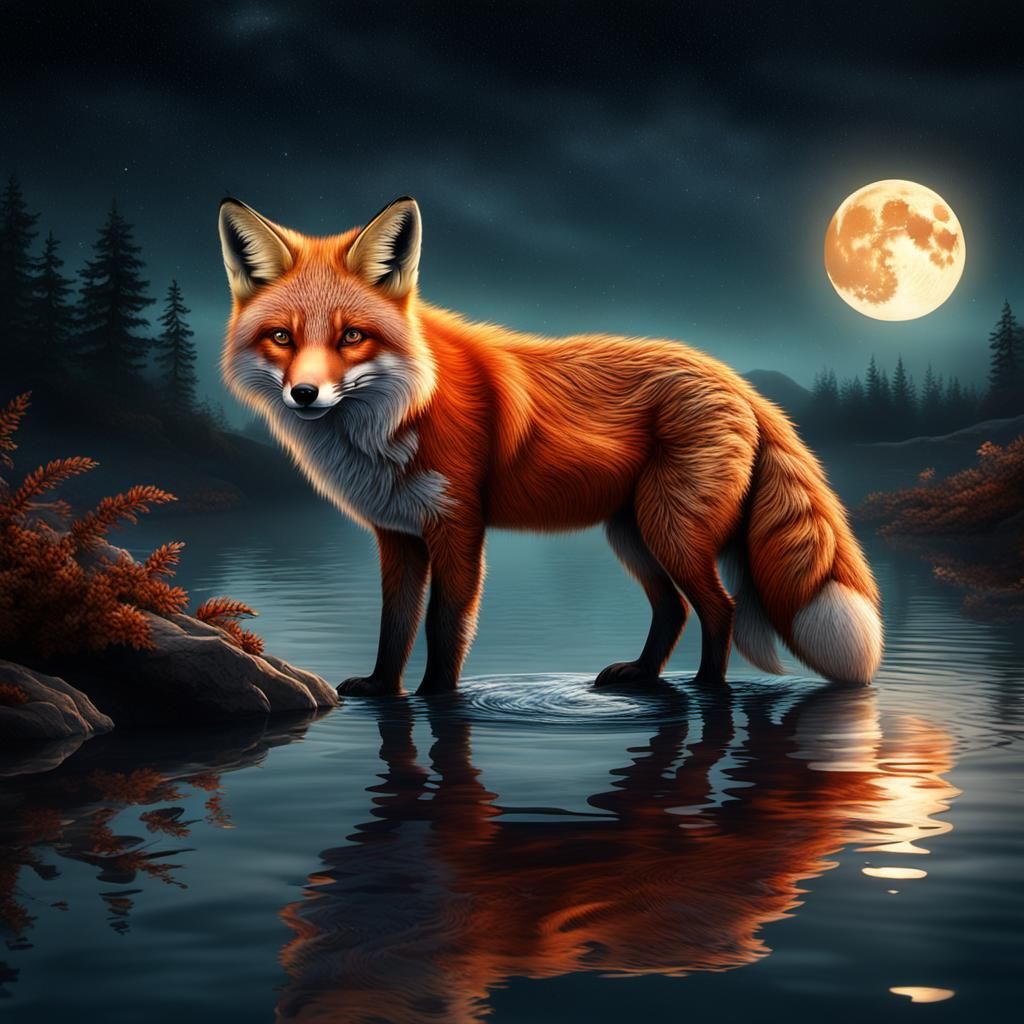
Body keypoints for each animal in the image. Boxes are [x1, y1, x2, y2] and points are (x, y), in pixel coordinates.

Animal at [217, 196, 883, 696]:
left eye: (352, 337)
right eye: (282, 338)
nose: (305, 393)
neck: (399, 414)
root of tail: (733, 379)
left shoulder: (457, 527)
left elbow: (442, 630)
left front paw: (436, 699)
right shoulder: (398, 535)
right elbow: (395, 628)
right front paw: (383, 690)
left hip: (670, 529)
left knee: (718, 609)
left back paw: (707, 689)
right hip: (632, 533)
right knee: (673, 609)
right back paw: (642, 677)